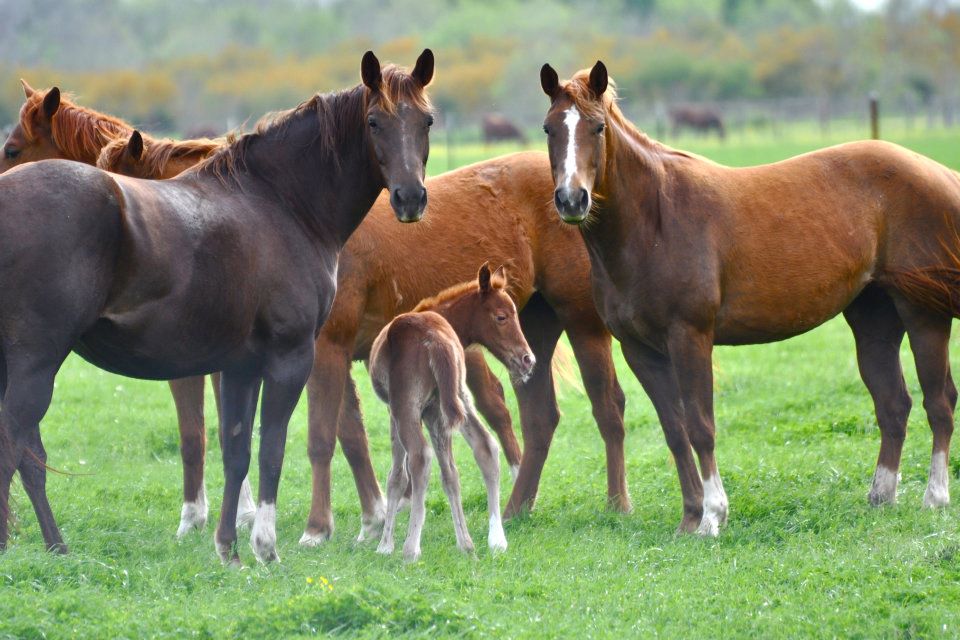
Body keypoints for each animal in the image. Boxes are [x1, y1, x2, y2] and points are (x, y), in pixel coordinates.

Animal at [0, 48, 436, 564]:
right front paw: (265, 546)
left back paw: (55, 545)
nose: (410, 198)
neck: (280, 203)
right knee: (14, 448)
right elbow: (270, 449)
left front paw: (228, 548)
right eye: (373, 121)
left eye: (427, 120)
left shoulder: (238, 366)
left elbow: (236, 452)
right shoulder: (289, 359)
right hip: (36, 363)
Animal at [370, 264, 536, 560]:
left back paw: (410, 549)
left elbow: (397, 476)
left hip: (405, 407)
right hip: (459, 398)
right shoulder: (437, 410)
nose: (528, 359)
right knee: (486, 446)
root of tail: (434, 339)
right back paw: (488, 541)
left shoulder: (394, 409)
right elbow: (450, 474)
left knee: (420, 456)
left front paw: (385, 545)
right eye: (502, 316)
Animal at [540, 62, 960, 536]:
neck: (654, 222)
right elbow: (674, 430)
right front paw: (690, 517)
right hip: (874, 319)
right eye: (549, 128)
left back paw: (935, 497)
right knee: (894, 404)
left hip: (923, 313)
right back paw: (882, 497)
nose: (571, 199)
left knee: (939, 401)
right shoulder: (640, 350)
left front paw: (712, 517)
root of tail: (942, 174)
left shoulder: (690, 336)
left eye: (597, 127)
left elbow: (700, 426)